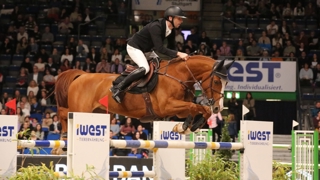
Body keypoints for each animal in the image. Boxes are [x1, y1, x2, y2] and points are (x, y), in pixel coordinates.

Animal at [55, 55, 234, 134]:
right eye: (216, 81)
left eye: (227, 83)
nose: (219, 108)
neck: (179, 75)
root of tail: (81, 75)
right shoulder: (167, 106)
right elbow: (197, 107)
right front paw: (187, 127)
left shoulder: (178, 110)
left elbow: (196, 108)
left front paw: (185, 127)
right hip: (80, 109)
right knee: (63, 112)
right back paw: (63, 130)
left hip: (97, 112)